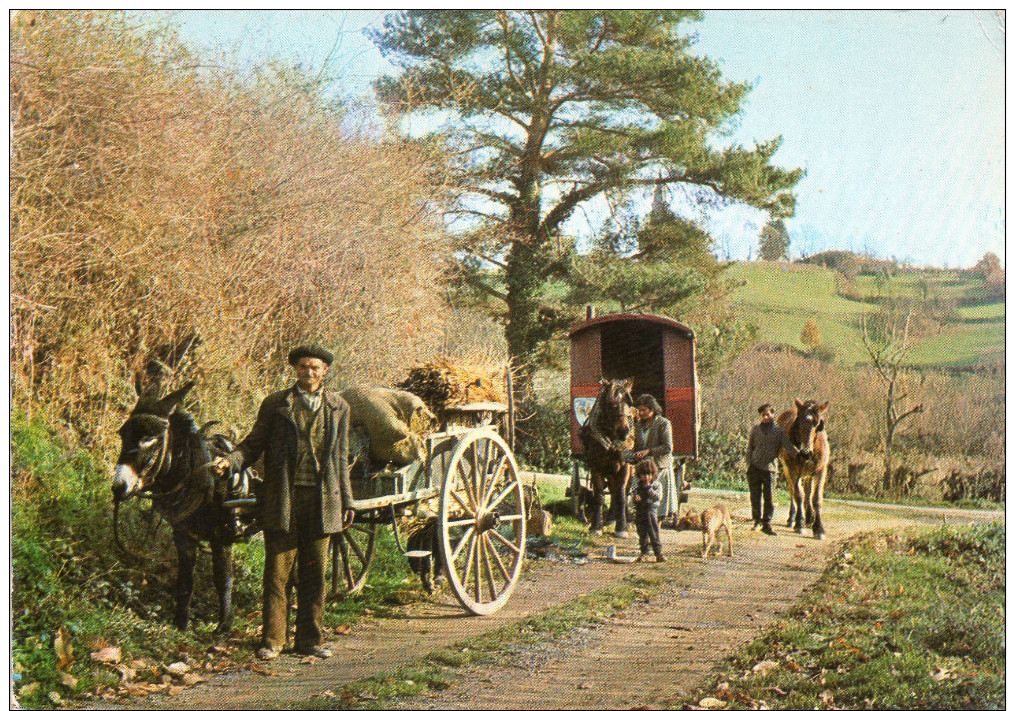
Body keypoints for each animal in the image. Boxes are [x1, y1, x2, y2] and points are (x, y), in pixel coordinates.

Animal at [108, 379, 253, 629]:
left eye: (150, 439)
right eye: (122, 434)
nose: (119, 487)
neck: (204, 480)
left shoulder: (222, 538)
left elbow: (223, 578)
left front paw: (224, 625)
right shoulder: (184, 535)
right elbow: (185, 580)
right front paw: (180, 623)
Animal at [580, 379, 633, 536]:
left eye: (629, 403)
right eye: (611, 404)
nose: (624, 433)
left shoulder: (625, 467)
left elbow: (621, 495)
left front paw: (622, 528)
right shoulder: (595, 466)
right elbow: (599, 495)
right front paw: (596, 526)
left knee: (623, 492)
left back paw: (625, 520)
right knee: (613, 491)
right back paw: (610, 519)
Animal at [779, 400, 828, 540]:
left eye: (817, 424)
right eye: (799, 422)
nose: (805, 453)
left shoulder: (820, 471)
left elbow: (816, 498)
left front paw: (818, 528)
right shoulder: (793, 471)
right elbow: (798, 495)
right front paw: (799, 524)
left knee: (808, 492)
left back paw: (809, 518)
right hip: (787, 469)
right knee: (792, 491)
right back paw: (792, 519)